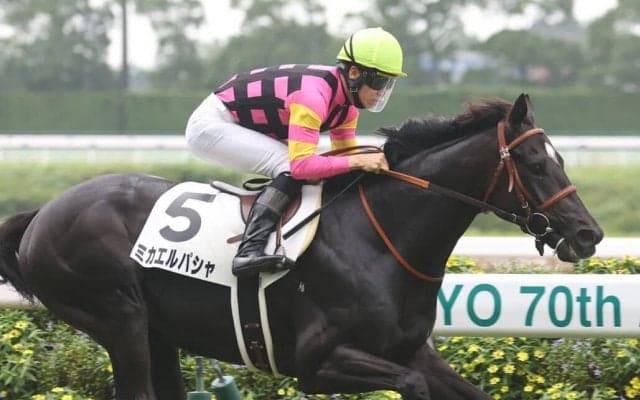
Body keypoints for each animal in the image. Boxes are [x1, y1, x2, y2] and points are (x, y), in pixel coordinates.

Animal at [0, 94, 603, 400]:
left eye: (560, 158)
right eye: (534, 163)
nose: (587, 234)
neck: (379, 241)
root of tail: (42, 214)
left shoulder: (410, 351)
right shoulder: (319, 364)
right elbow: (409, 386)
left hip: (156, 331)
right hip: (117, 318)